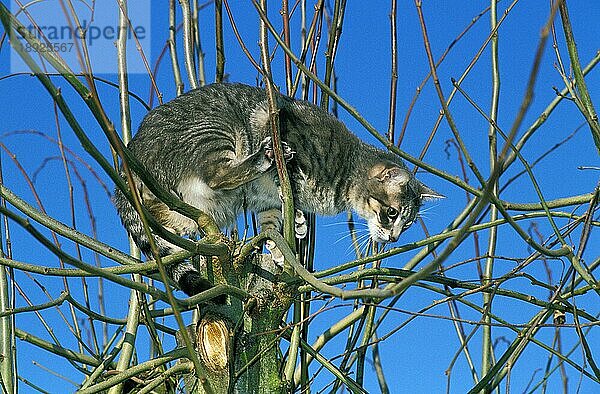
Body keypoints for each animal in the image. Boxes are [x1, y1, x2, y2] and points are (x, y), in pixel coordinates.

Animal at [113, 84, 440, 298]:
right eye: (392, 213)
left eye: (407, 224)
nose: (394, 237)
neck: (347, 167)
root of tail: (132, 154)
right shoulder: (278, 122)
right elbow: (290, 176)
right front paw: (295, 209)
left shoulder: (264, 202)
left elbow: (270, 223)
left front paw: (282, 241)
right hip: (216, 130)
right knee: (218, 175)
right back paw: (263, 157)